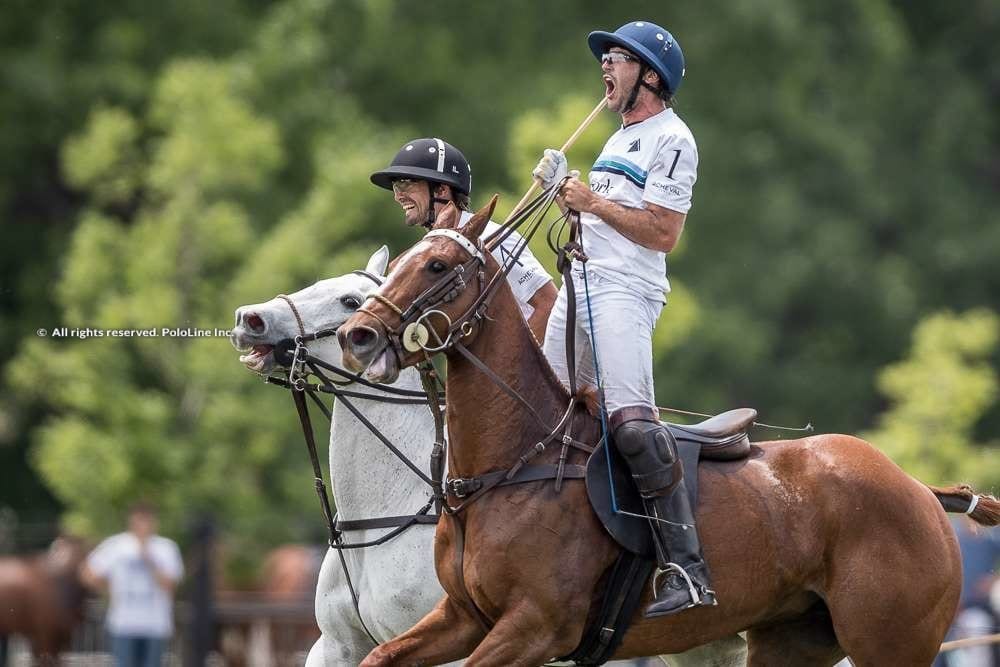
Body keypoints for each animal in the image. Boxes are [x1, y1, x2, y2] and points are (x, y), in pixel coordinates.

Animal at [340, 200, 996, 667]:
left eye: (437, 265)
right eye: (399, 260)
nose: (357, 336)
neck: (517, 461)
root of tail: (918, 489)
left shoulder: (535, 627)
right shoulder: (462, 617)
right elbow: (378, 655)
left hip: (893, 643)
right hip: (793, 639)